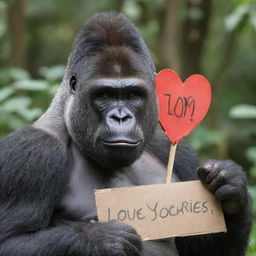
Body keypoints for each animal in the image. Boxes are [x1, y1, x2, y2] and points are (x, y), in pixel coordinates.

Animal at [0, 11, 252, 256]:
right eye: (104, 95)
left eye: (133, 95)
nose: (120, 117)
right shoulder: (33, 151)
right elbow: (9, 240)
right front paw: (102, 239)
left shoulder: (173, 149)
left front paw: (231, 186)